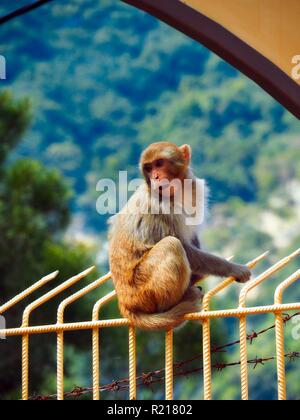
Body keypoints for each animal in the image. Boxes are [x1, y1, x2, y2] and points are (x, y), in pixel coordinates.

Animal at [108, 143, 251, 330]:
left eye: (159, 163)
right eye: (148, 168)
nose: (155, 177)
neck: (178, 191)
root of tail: (125, 304)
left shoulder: (195, 189)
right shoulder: (160, 207)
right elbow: (184, 247)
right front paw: (234, 268)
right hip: (142, 290)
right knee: (172, 244)